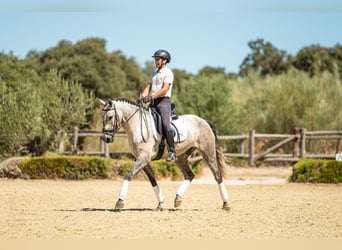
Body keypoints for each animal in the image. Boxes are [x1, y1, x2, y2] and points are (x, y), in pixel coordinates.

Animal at [99, 97, 231, 211]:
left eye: (110, 117)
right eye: (102, 117)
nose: (106, 138)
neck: (136, 125)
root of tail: (204, 121)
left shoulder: (144, 157)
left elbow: (128, 175)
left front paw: (119, 201)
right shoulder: (141, 159)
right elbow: (153, 181)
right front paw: (160, 204)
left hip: (208, 153)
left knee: (218, 175)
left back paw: (226, 204)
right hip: (180, 157)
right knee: (189, 175)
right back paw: (178, 199)